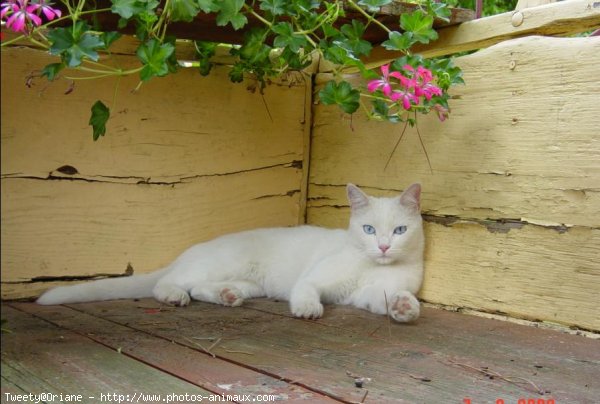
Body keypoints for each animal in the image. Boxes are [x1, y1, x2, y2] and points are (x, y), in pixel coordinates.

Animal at [37, 183, 424, 322]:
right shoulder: (316, 277)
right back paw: (175, 296)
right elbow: (306, 289)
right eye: (369, 230)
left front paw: (404, 307)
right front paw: (307, 309)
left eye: (399, 231)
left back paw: (227, 296)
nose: (384, 246)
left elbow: (383, 298)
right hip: (216, 264)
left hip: (249, 282)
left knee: (199, 288)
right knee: (169, 283)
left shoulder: (366, 293)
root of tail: (190, 251)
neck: (374, 265)